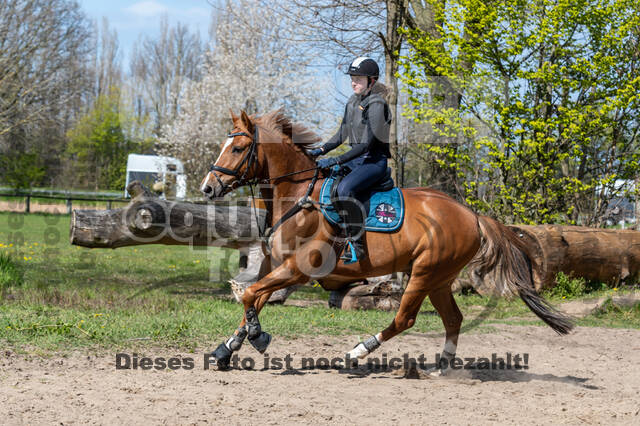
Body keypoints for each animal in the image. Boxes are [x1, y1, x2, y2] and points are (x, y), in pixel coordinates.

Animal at [199, 109, 568, 370]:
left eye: (238, 148)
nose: (208, 187)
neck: (298, 196)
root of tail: (472, 216)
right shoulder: (276, 267)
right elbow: (253, 299)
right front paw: (227, 348)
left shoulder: (298, 269)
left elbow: (250, 296)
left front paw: (257, 337)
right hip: (439, 278)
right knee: (453, 319)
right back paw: (443, 366)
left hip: (423, 274)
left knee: (405, 319)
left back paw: (356, 352)